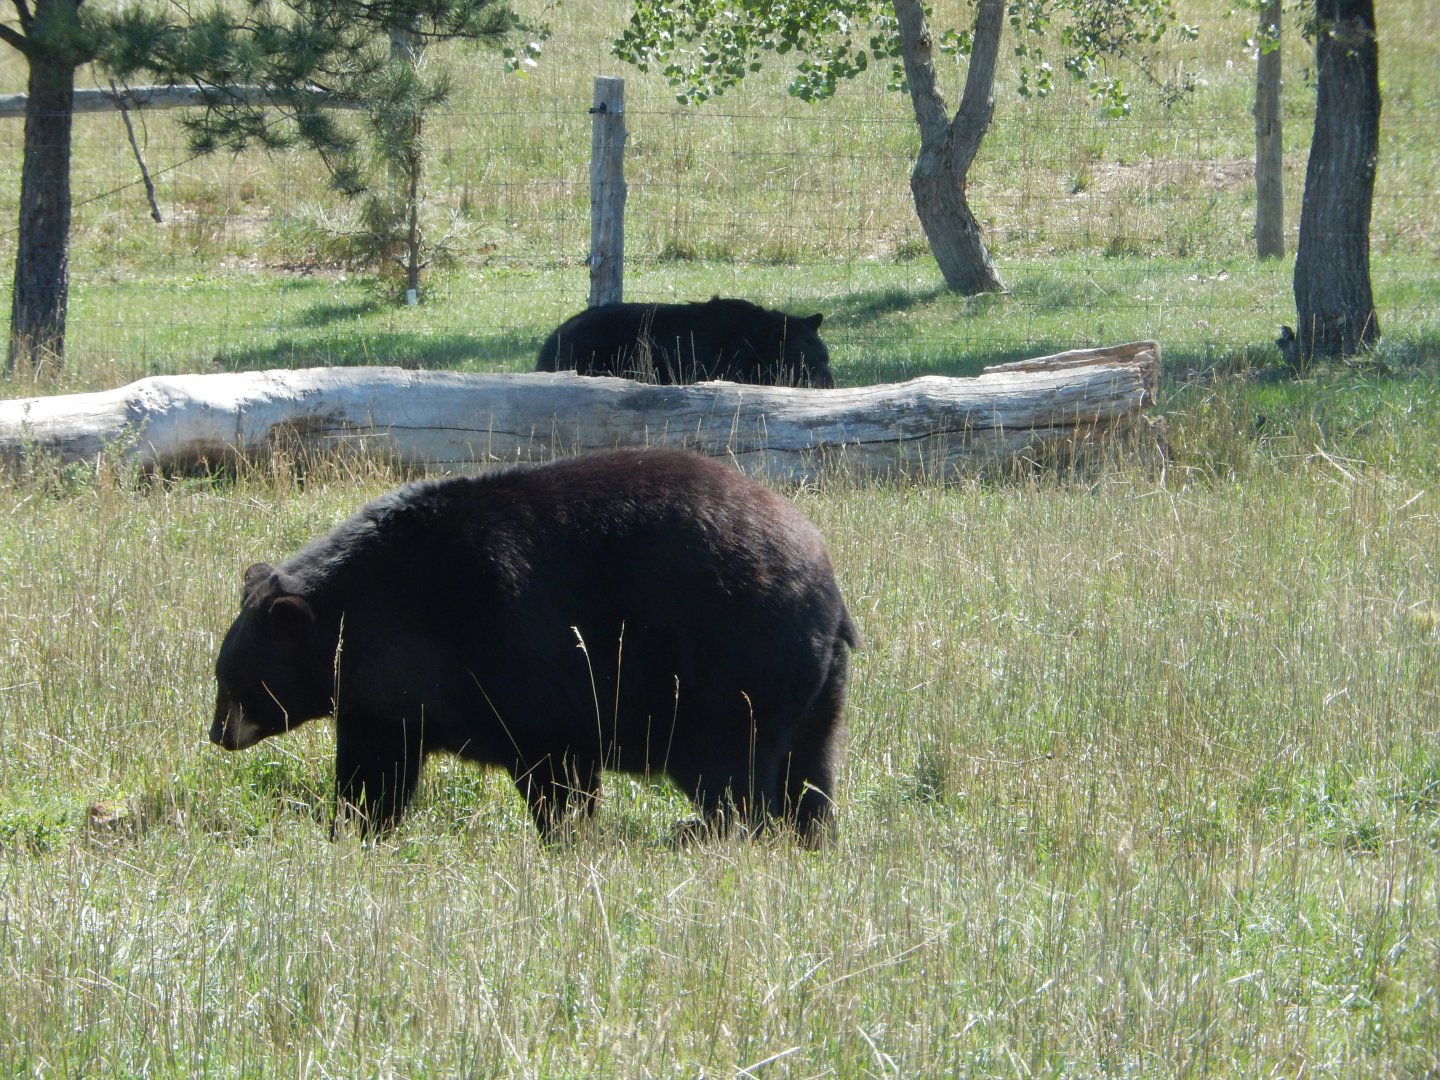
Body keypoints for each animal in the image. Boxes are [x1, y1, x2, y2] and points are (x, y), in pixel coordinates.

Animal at [211, 448, 857, 844]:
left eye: (237, 681)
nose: (218, 734)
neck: (377, 605)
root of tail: (828, 585)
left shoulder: (517, 654)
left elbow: (555, 764)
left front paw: (567, 835)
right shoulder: (385, 701)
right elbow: (376, 767)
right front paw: (355, 828)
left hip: (729, 667)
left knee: (732, 775)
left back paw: (701, 832)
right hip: (814, 683)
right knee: (808, 768)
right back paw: (807, 834)